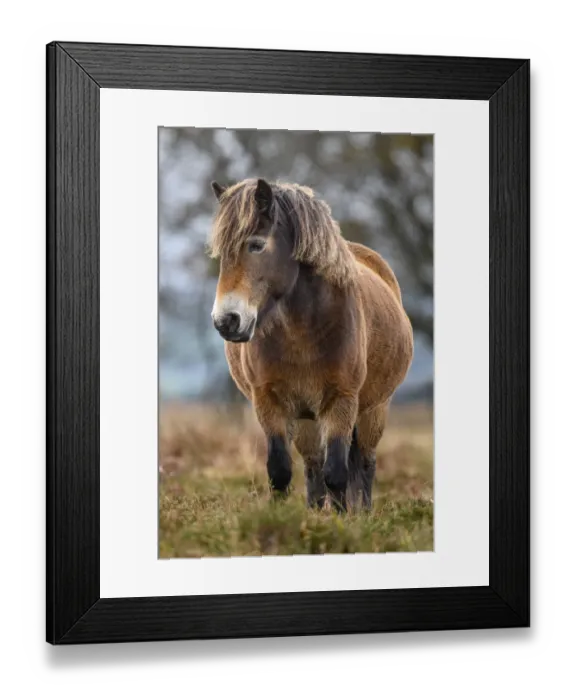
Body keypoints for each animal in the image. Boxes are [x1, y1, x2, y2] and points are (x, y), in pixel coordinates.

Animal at [208, 177, 414, 512]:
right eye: (222, 252)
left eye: (256, 244)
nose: (226, 321)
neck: (300, 334)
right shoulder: (269, 403)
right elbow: (280, 471)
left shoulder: (341, 401)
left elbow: (337, 473)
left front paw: (343, 521)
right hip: (306, 417)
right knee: (313, 465)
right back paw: (316, 512)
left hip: (374, 409)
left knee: (364, 464)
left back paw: (363, 513)